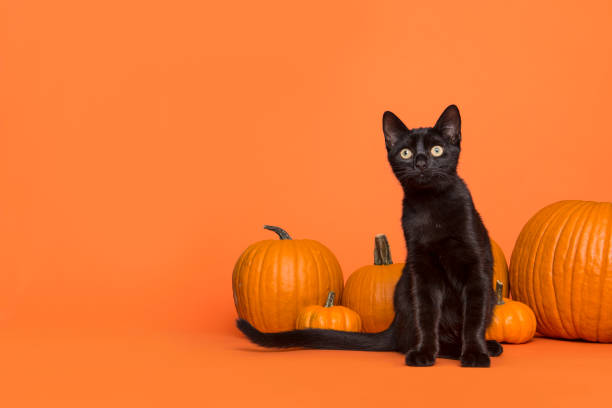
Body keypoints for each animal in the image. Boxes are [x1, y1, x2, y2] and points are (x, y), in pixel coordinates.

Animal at [235, 104, 502, 366]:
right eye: (405, 153)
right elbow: (426, 316)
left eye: (437, 150)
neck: (432, 206)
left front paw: (475, 354)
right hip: (408, 289)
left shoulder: (476, 268)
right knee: (408, 338)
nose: (421, 162)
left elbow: (474, 317)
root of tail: (394, 324)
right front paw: (425, 352)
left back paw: (485, 347)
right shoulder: (422, 271)